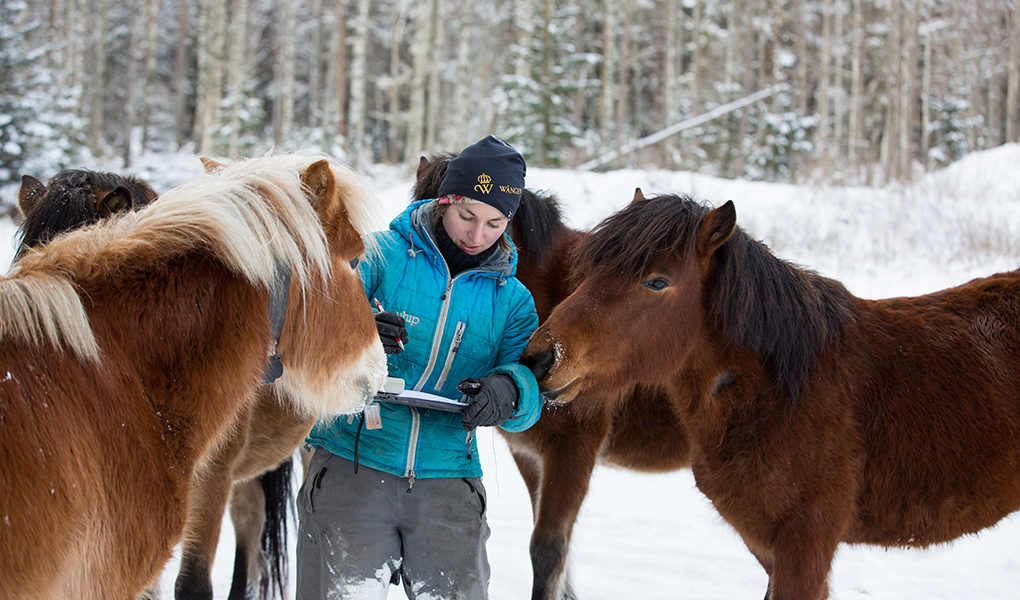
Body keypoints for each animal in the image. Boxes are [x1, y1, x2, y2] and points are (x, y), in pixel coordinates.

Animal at [522, 190, 1020, 600]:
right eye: (587, 271)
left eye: (657, 281)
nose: (541, 358)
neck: (786, 394)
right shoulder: (764, 541)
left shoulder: (806, 545)